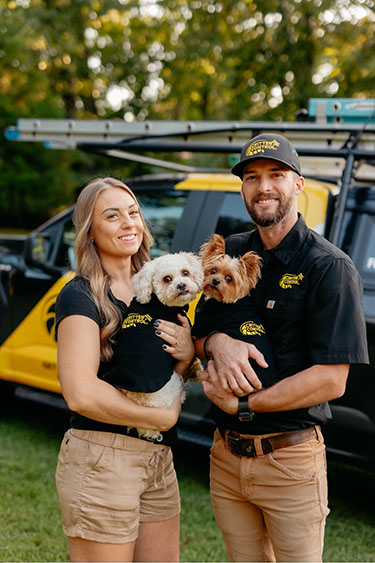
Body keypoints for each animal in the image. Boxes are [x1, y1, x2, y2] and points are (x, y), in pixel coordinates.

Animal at [114, 253, 203, 442]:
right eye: (166, 279)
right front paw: (196, 367)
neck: (158, 302)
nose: (181, 285)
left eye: (185, 272)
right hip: (174, 382)